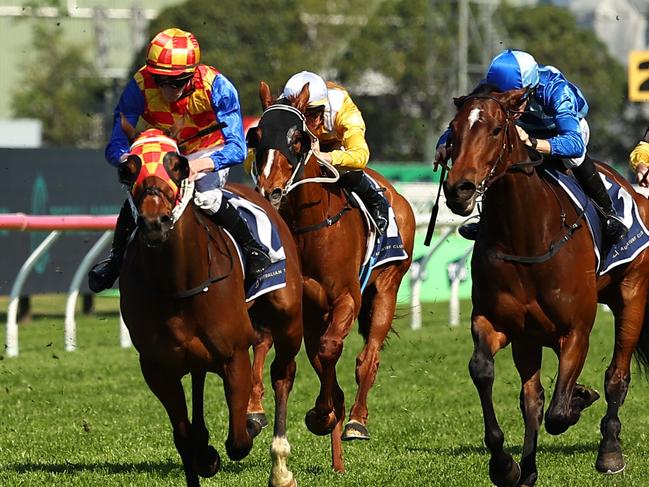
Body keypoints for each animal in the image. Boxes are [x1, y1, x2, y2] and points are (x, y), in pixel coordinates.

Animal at [116, 119, 302, 487]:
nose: (155, 223)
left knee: (282, 374)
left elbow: (238, 440)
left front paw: (246, 425)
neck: (179, 283)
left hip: (288, 317)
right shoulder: (157, 368)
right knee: (199, 377)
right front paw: (204, 454)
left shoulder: (234, 356)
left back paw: (280, 467)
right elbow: (184, 437)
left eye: (178, 165)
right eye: (128, 169)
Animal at [248, 81, 416, 472]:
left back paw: (354, 420)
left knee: (367, 357)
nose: (269, 191)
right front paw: (256, 410)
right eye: (255, 135)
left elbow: (330, 350)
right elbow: (265, 342)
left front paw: (325, 413)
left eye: (298, 139)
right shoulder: (291, 301)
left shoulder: (346, 298)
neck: (307, 228)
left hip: (385, 288)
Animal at [442, 86, 649, 486]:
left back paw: (609, 450)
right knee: (532, 397)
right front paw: (506, 466)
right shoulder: (498, 323)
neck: (526, 236)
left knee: (616, 376)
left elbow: (557, 412)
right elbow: (485, 372)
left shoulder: (576, 332)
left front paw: (579, 399)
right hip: (530, 337)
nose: (459, 189)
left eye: (495, 130)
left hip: (632, 296)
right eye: (453, 131)